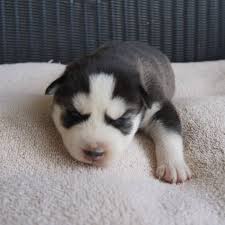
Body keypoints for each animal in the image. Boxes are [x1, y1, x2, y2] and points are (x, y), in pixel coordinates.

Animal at [45, 41, 192, 183]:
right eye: (75, 114)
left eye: (121, 119)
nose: (94, 153)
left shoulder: (159, 106)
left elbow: (170, 133)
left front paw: (173, 166)